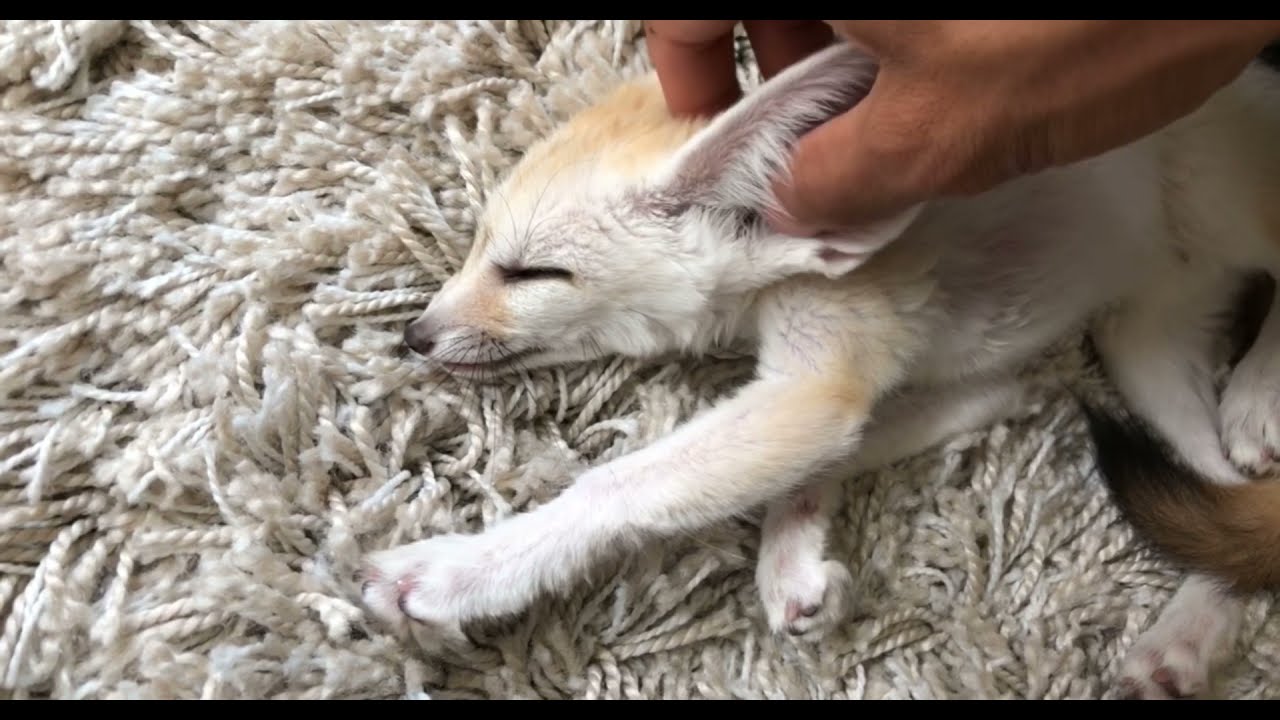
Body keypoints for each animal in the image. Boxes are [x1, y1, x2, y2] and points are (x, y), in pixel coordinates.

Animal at [359, 41, 1280, 699]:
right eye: (479, 248)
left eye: (530, 274)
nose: (415, 336)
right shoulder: (926, 381)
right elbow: (847, 449)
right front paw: (793, 557)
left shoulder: (818, 378)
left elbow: (617, 487)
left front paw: (460, 573)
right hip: (1142, 350)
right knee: (1220, 489)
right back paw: (1189, 630)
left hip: (1225, 231)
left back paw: (1259, 394)